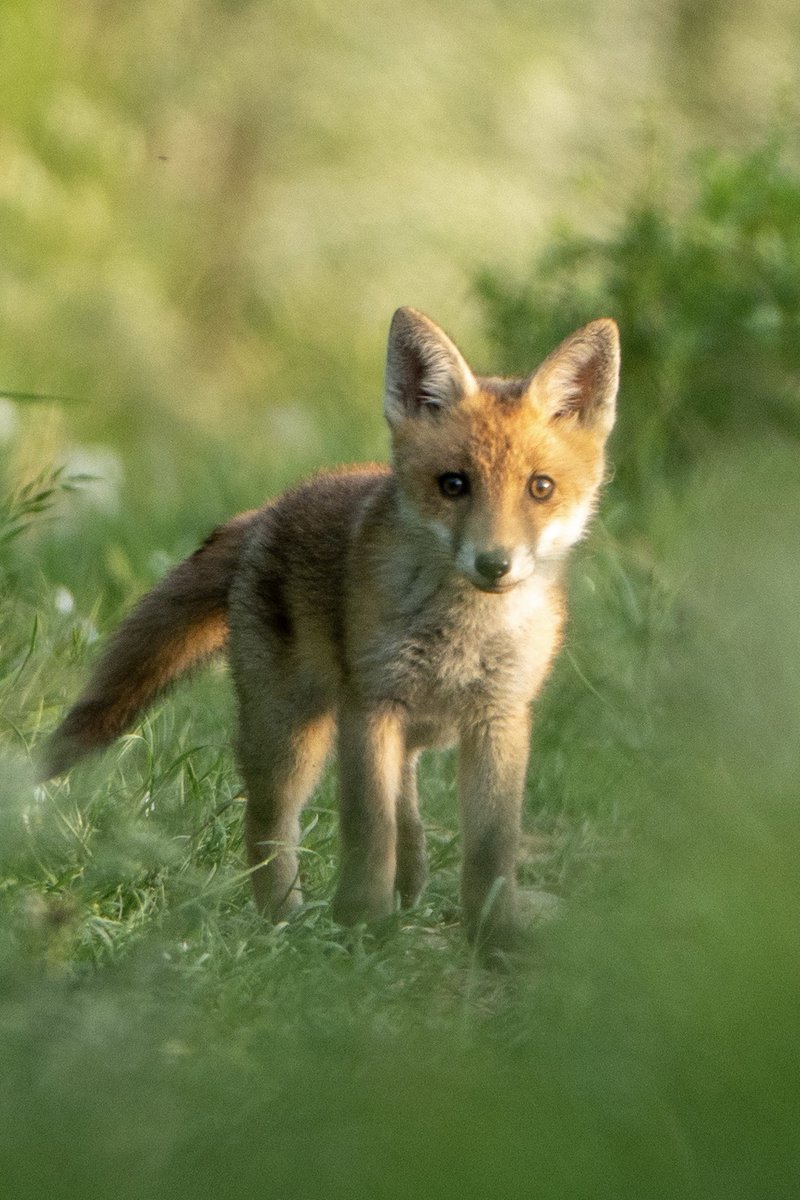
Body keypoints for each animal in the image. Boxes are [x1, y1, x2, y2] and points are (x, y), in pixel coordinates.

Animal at [41, 307, 620, 953]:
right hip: (292, 730)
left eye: (540, 488)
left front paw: (493, 938)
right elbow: (369, 831)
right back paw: (284, 924)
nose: (494, 564)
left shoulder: (500, 717)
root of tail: (270, 508)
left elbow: (491, 850)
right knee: (269, 824)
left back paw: (406, 884)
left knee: (407, 805)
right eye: (453, 484)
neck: (462, 636)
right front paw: (362, 929)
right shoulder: (371, 706)